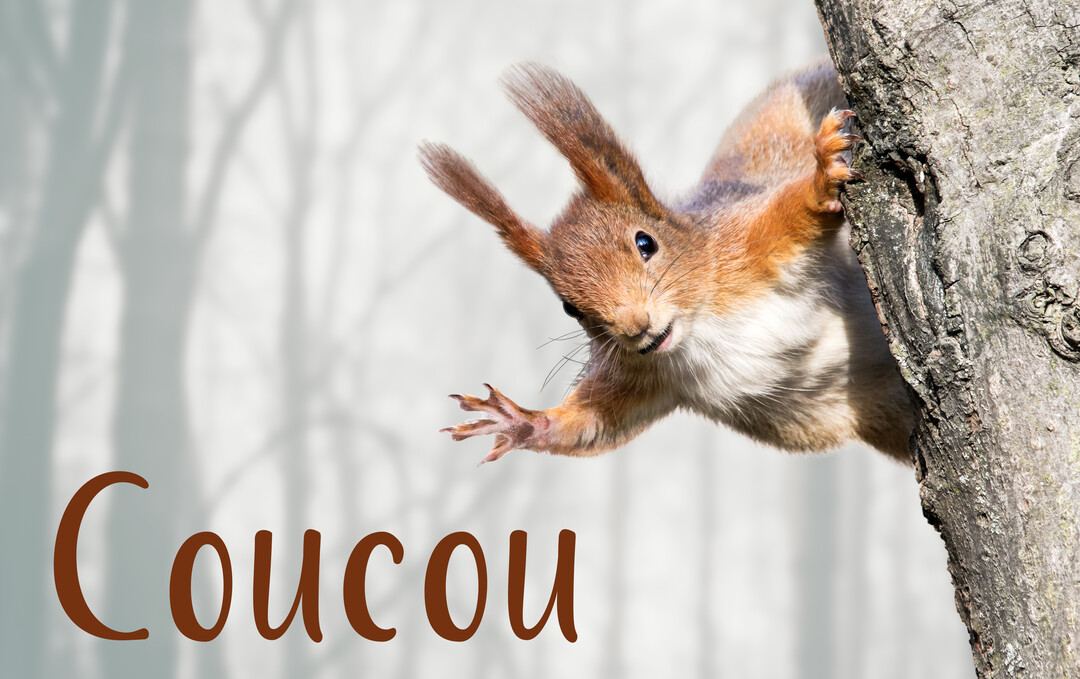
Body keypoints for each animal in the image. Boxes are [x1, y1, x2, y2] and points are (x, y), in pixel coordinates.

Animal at [420, 59, 914, 465]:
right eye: (569, 308)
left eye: (646, 243)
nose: (636, 328)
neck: (699, 329)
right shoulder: (642, 375)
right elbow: (594, 424)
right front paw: (521, 421)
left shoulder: (744, 246)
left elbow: (792, 213)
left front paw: (821, 176)